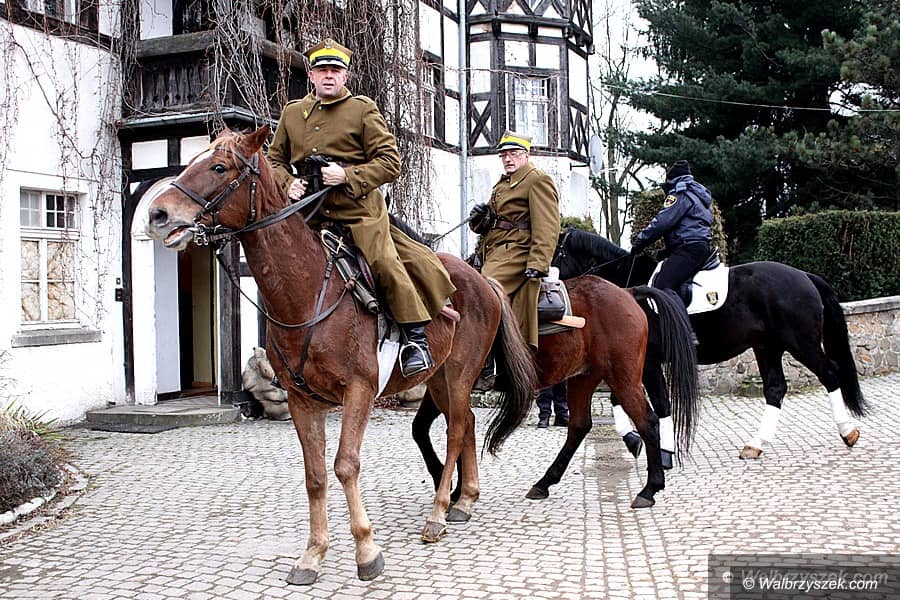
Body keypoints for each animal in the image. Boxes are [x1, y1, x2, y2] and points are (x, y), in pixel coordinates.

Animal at [145, 126, 538, 585]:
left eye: (219, 166)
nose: (158, 214)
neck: (308, 291)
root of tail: (480, 278)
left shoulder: (359, 391)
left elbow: (345, 464)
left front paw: (366, 550)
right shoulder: (302, 400)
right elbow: (315, 475)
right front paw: (312, 554)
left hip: (459, 374)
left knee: (457, 430)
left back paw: (439, 514)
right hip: (439, 378)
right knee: (469, 423)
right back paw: (464, 501)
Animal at [555, 226, 867, 458]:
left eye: (557, 251)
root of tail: (804, 275)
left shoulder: (649, 362)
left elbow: (658, 403)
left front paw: (662, 449)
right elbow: (619, 398)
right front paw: (634, 440)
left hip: (801, 344)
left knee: (830, 373)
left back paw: (847, 432)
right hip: (767, 347)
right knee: (775, 389)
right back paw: (756, 444)